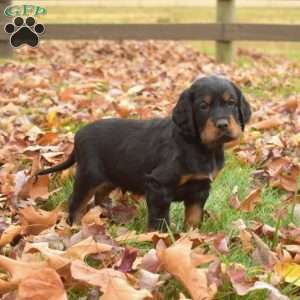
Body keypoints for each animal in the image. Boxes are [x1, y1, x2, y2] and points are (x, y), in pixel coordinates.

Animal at [35, 76, 251, 231]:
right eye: (203, 106)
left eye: (231, 103)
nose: (223, 124)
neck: (200, 147)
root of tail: (78, 135)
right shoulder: (159, 185)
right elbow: (160, 219)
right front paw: (160, 240)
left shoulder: (201, 188)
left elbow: (194, 217)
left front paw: (192, 237)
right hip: (89, 175)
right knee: (76, 202)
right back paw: (75, 226)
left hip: (111, 176)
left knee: (99, 196)